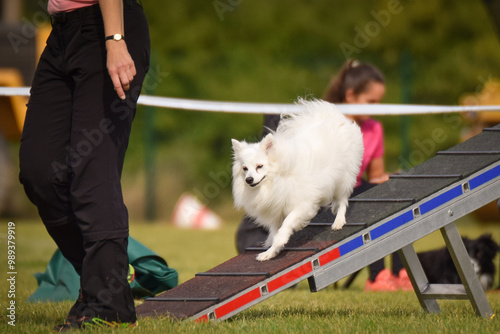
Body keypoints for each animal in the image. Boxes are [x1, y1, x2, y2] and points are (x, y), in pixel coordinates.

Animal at [230, 99, 364, 260]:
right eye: (245, 169)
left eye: (259, 166)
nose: (249, 179)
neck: (275, 181)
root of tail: (330, 114)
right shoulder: (275, 212)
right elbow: (275, 231)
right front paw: (270, 252)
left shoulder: (302, 205)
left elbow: (287, 223)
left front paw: (281, 240)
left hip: (342, 178)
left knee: (343, 200)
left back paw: (338, 222)